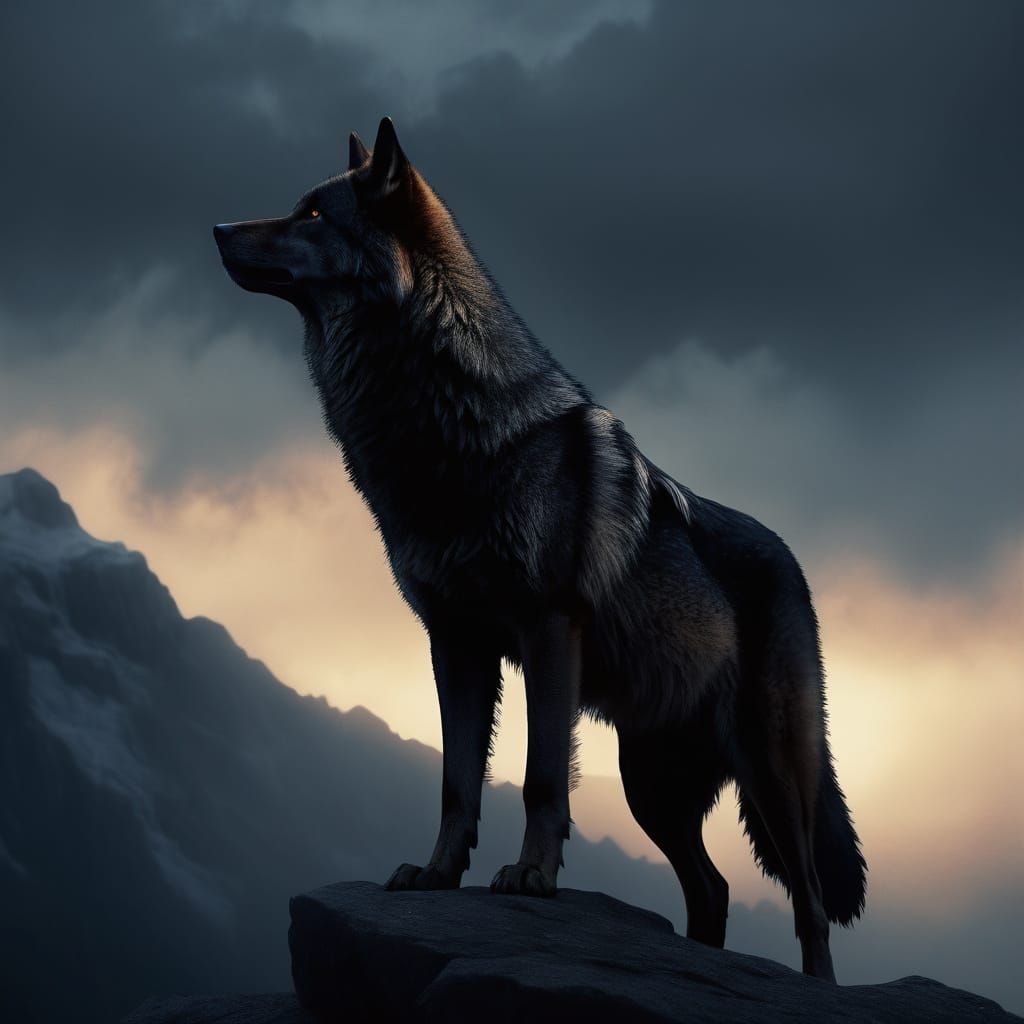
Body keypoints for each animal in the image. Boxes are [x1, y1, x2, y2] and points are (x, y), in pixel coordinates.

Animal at [214, 117, 866, 981]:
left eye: (314, 215)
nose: (218, 229)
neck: (445, 433)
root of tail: (796, 564)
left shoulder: (546, 630)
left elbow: (537, 779)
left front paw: (529, 877)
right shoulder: (455, 643)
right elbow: (458, 780)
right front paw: (436, 874)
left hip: (770, 772)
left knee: (810, 903)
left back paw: (816, 987)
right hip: (650, 787)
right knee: (715, 888)